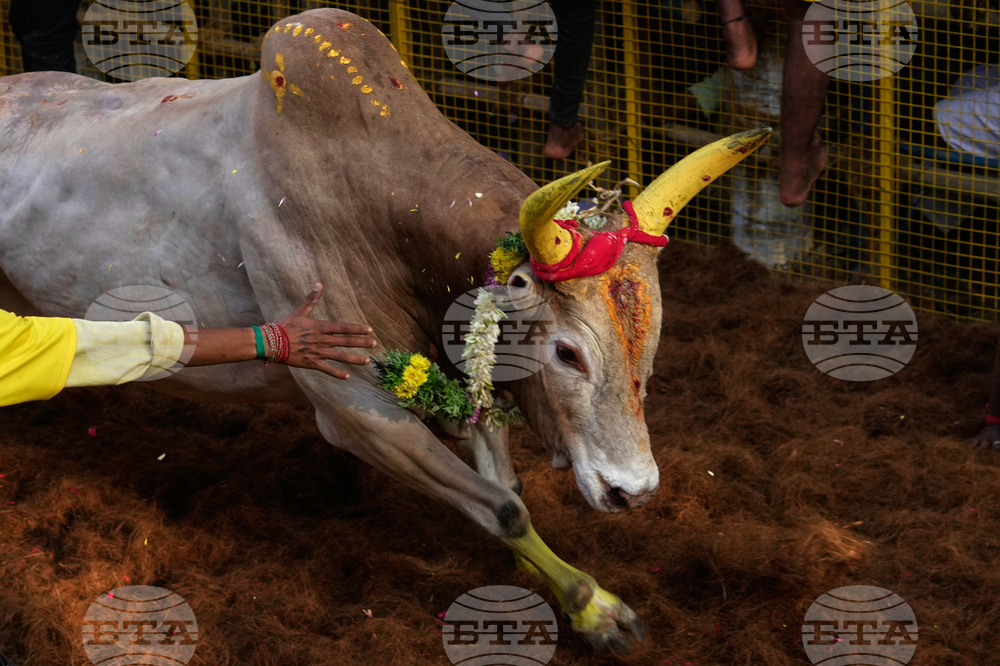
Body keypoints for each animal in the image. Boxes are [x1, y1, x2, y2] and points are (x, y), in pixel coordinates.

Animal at [0, 8, 768, 653]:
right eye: (566, 351)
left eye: (652, 344)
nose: (632, 491)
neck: (372, 203)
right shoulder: (356, 412)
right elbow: (503, 509)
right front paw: (593, 605)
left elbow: (508, 491)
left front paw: (579, 602)